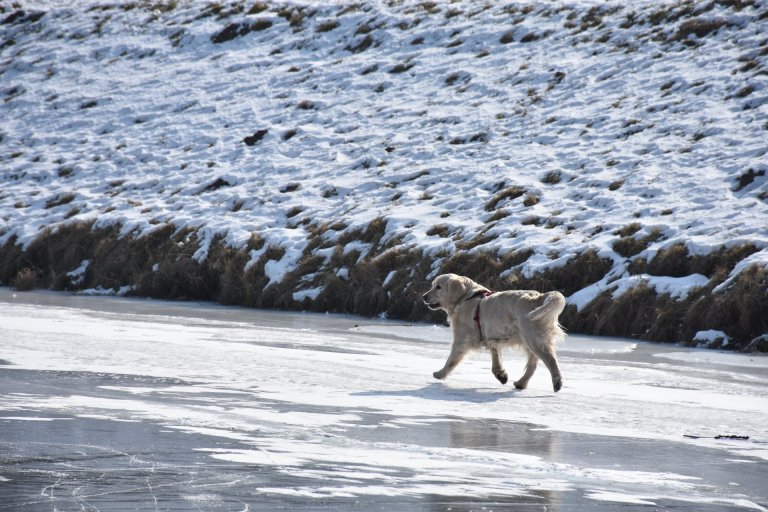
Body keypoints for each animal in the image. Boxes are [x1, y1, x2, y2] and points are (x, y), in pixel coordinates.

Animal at [424, 276, 568, 392]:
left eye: (438, 286)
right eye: (432, 285)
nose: (424, 296)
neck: (466, 298)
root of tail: (540, 296)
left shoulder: (462, 338)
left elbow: (451, 360)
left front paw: (440, 373)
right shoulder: (493, 337)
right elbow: (496, 358)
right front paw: (501, 375)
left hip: (532, 338)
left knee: (550, 359)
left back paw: (557, 382)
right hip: (528, 339)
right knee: (533, 364)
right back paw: (521, 383)